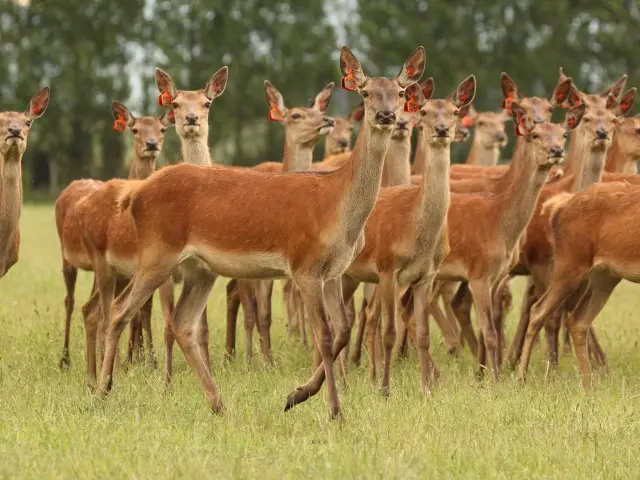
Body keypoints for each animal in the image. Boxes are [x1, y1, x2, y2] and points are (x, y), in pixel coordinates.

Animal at [55, 101, 174, 370]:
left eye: (162, 129)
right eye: (135, 129)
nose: (152, 144)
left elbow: (143, 310)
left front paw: (144, 360)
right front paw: (130, 361)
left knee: (93, 309)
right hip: (68, 257)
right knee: (71, 302)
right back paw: (67, 359)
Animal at [75, 66, 228, 386]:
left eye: (207, 102)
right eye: (176, 103)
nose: (191, 119)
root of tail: (82, 206)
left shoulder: (202, 267)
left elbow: (201, 327)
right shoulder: (168, 273)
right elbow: (169, 324)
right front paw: (167, 382)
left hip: (122, 273)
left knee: (92, 310)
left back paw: (94, 375)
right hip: (103, 264)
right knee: (105, 315)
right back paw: (103, 376)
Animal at [95, 46, 426, 419]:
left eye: (400, 92)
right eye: (365, 92)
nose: (386, 115)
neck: (337, 207)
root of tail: (134, 195)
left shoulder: (332, 272)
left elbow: (342, 330)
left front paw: (296, 395)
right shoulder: (304, 265)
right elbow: (325, 337)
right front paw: (334, 411)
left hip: (200, 269)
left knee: (181, 322)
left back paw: (218, 404)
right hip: (157, 253)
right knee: (119, 310)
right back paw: (102, 391)